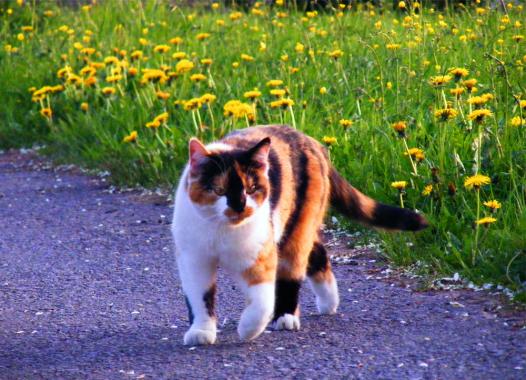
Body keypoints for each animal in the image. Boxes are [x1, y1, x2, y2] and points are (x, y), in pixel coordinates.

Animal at [173, 124, 428, 344]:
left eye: (251, 189)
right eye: (219, 190)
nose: (239, 207)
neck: (221, 231)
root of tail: (312, 142)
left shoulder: (261, 255)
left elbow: (262, 302)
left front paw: (248, 329)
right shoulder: (193, 260)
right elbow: (200, 297)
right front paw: (201, 331)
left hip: (296, 227)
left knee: (295, 269)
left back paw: (288, 316)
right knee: (318, 253)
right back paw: (328, 301)